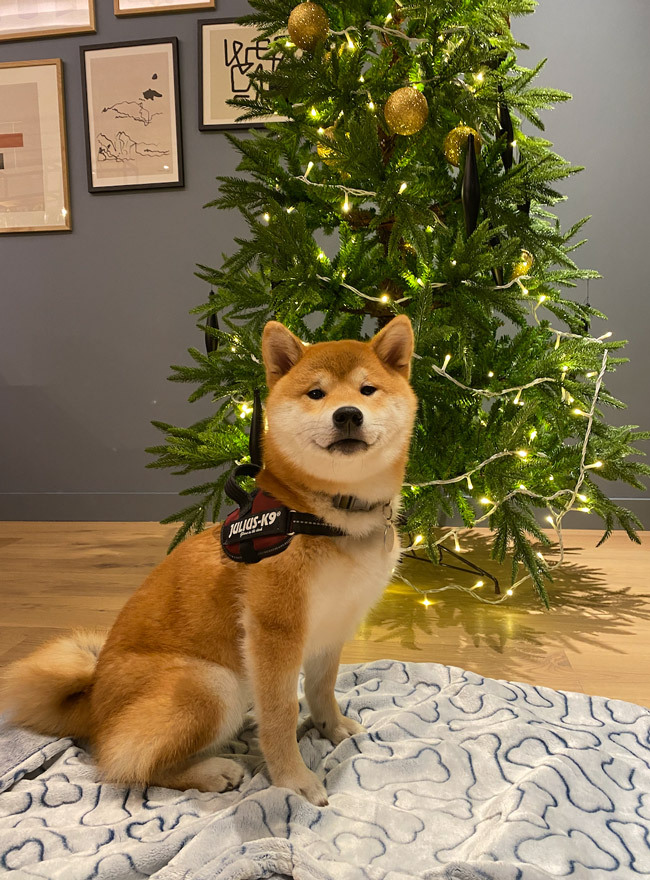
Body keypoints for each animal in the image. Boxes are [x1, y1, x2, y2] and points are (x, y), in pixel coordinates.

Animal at [1, 316, 416, 804]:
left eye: (367, 390)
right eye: (316, 393)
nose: (347, 414)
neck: (321, 514)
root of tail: (93, 702)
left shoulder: (333, 626)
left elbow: (321, 689)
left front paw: (330, 727)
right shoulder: (273, 633)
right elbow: (280, 717)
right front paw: (293, 779)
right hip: (213, 684)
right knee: (126, 764)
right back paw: (209, 772)